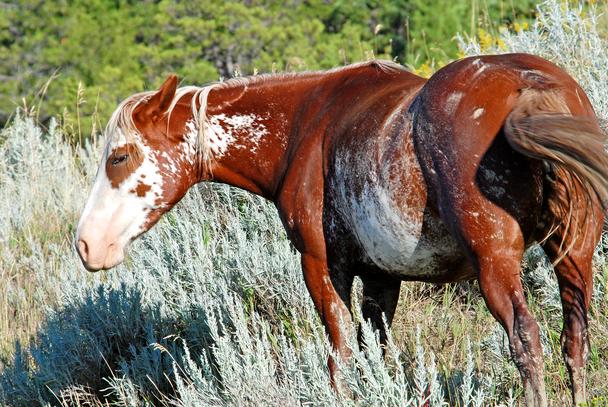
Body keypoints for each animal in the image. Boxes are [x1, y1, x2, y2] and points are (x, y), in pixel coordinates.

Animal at [75, 54, 608, 406]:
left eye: (119, 157)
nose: (86, 245)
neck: (304, 125)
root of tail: (532, 87)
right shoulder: (380, 276)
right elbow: (376, 351)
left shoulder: (322, 266)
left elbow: (341, 356)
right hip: (573, 256)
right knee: (574, 339)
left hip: (496, 264)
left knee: (527, 339)